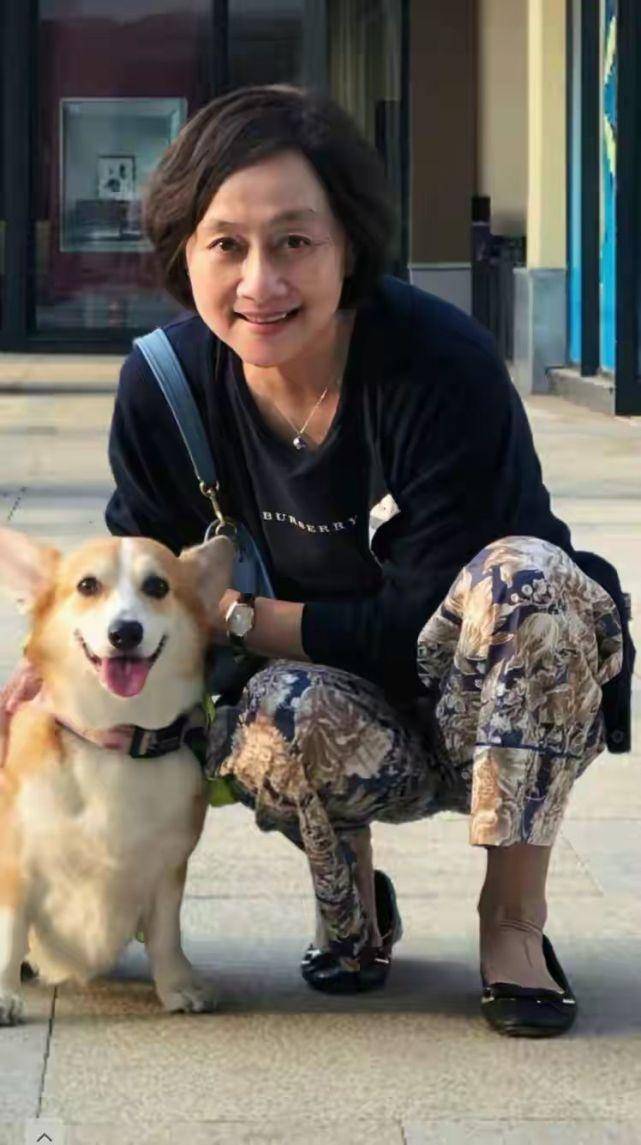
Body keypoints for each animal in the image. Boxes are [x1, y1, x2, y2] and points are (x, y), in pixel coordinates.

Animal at [0, 527, 233, 1024]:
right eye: (87, 585)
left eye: (158, 587)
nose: (125, 632)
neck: (114, 736)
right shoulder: (16, 863)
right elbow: (11, 932)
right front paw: (5, 996)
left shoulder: (168, 870)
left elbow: (166, 934)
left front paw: (177, 986)